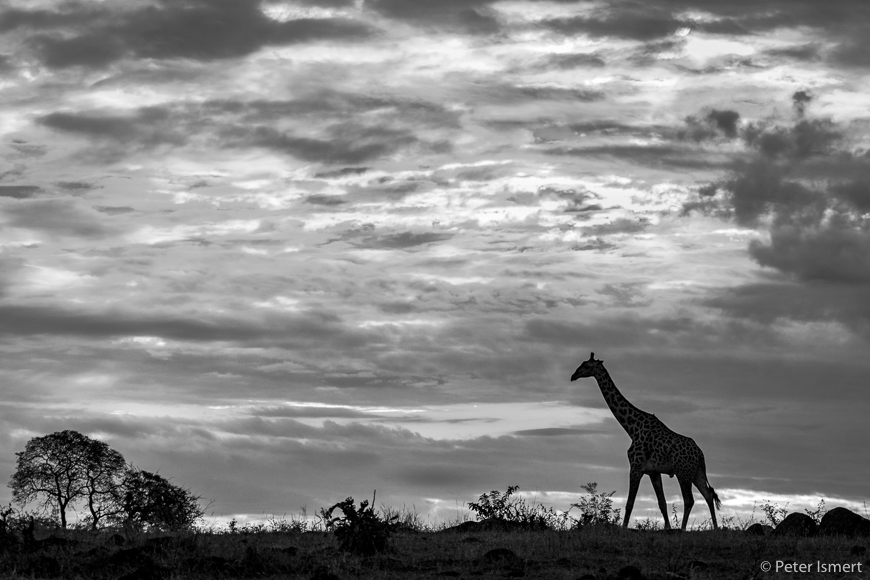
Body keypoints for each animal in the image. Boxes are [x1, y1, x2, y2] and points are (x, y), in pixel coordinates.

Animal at [570, 353, 721, 531]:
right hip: (696, 473)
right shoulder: (653, 472)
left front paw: (623, 528)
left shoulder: (635, 467)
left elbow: (629, 503)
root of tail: (700, 454)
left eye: (586, 366)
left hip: (683, 472)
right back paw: (716, 528)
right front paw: (667, 528)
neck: (632, 427)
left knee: (689, 499)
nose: (573, 376)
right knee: (708, 495)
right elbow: (662, 503)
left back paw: (683, 528)